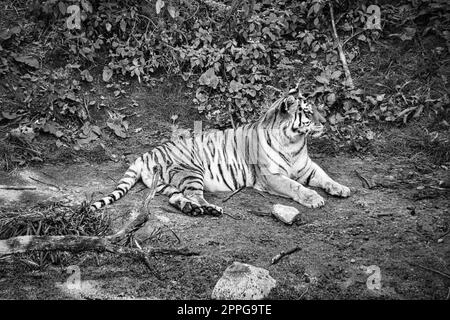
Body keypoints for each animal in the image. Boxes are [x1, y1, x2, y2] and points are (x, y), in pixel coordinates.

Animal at [89, 87, 352, 215]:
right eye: (308, 112)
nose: (325, 122)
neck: (294, 142)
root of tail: (145, 154)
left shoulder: (307, 167)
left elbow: (325, 177)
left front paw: (341, 188)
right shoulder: (271, 176)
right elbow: (296, 186)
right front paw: (314, 199)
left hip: (166, 185)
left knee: (178, 198)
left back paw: (193, 209)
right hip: (190, 171)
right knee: (195, 195)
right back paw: (210, 208)